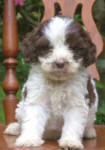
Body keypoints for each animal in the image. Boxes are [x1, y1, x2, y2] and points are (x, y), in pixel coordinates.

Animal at [4, 15, 98, 149]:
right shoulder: (36, 99)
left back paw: (89, 132)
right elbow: (32, 119)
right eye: (48, 48)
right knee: (21, 121)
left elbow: (73, 124)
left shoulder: (76, 103)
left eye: (73, 48)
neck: (57, 81)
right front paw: (29, 139)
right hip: (20, 108)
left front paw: (70, 141)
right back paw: (15, 128)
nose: (60, 63)